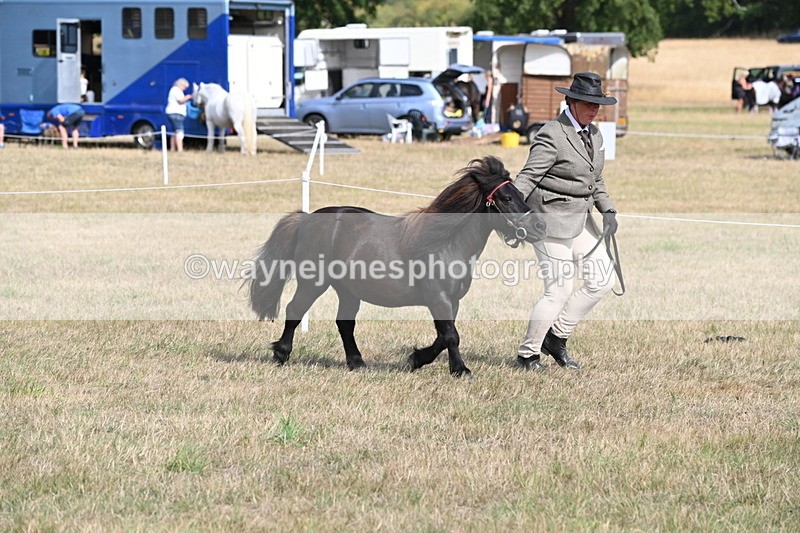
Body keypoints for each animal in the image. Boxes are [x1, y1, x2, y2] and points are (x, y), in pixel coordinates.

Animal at [246, 156, 546, 377]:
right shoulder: (438, 298)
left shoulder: (451, 300)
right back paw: (281, 353)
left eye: (520, 193)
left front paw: (415, 359)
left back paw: (357, 363)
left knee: (345, 323)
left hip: (348, 291)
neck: (446, 243)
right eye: (507, 198)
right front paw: (460, 370)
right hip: (313, 283)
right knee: (295, 311)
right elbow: (451, 336)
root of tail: (307, 219)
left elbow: (443, 336)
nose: (539, 226)